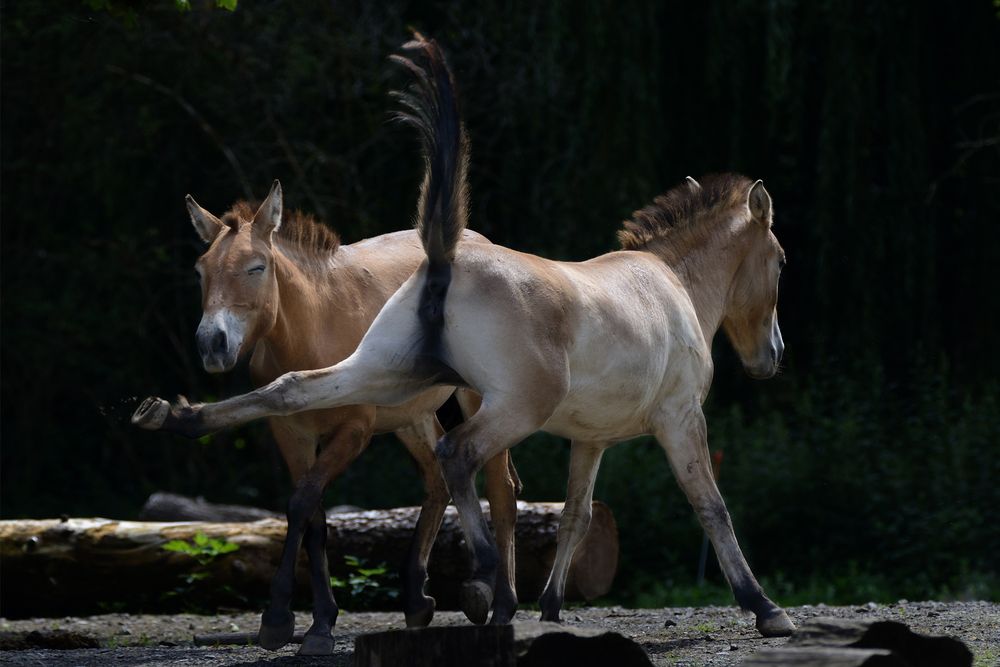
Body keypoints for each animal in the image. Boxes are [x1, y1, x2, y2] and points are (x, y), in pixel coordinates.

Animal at [177, 184, 520, 656]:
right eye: (201, 271)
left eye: (256, 267)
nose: (213, 344)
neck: (314, 328)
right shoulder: (291, 434)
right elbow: (312, 517)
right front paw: (315, 622)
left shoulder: (353, 433)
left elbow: (302, 503)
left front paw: (282, 619)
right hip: (410, 415)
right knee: (437, 480)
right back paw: (418, 600)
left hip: (476, 398)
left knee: (501, 491)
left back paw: (498, 603)